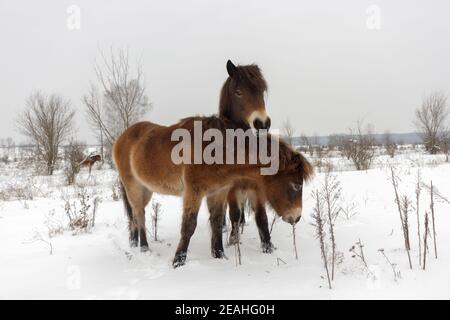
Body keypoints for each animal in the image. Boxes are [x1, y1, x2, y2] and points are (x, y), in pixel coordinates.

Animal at [111, 116, 312, 266]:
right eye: (296, 185)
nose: (296, 217)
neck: (215, 150)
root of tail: (122, 137)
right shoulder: (194, 192)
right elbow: (189, 226)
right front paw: (178, 261)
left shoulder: (218, 192)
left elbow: (216, 222)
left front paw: (219, 255)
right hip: (133, 186)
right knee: (139, 214)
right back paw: (144, 247)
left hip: (146, 190)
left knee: (134, 215)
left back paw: (134, 242)